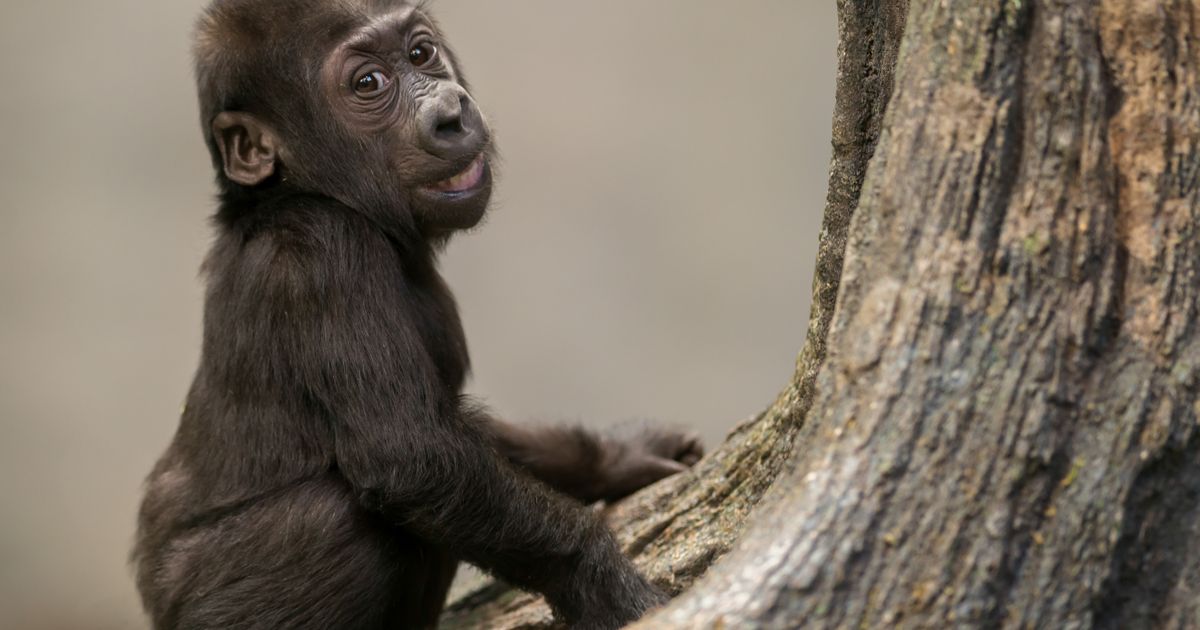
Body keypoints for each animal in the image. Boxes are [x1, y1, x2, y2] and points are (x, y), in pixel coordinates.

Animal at [133, 1, 700, 628]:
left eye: (421, 52)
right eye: (368, 84)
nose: (450, 113)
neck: (297, 191)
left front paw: (617, 456)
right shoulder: (324, 251)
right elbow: (413, 455)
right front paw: (599, 581)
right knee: (336, 518)